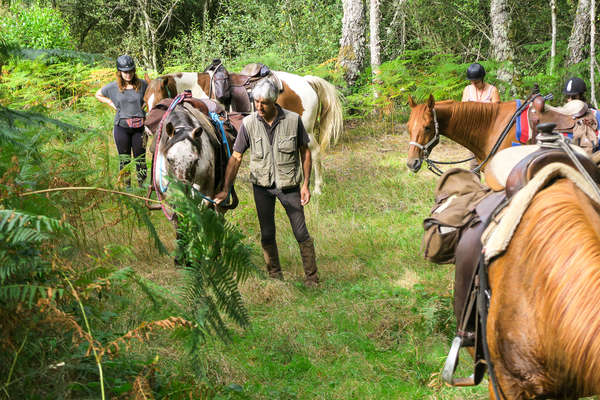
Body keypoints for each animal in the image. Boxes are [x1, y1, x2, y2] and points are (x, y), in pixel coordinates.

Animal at [143, 70, 344, 195]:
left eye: (160, 98)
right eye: (145, 100)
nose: (147, 128)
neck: (196, 88)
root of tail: (306, 82)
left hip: (306, 129)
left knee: (315, 153)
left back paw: (316, 189)